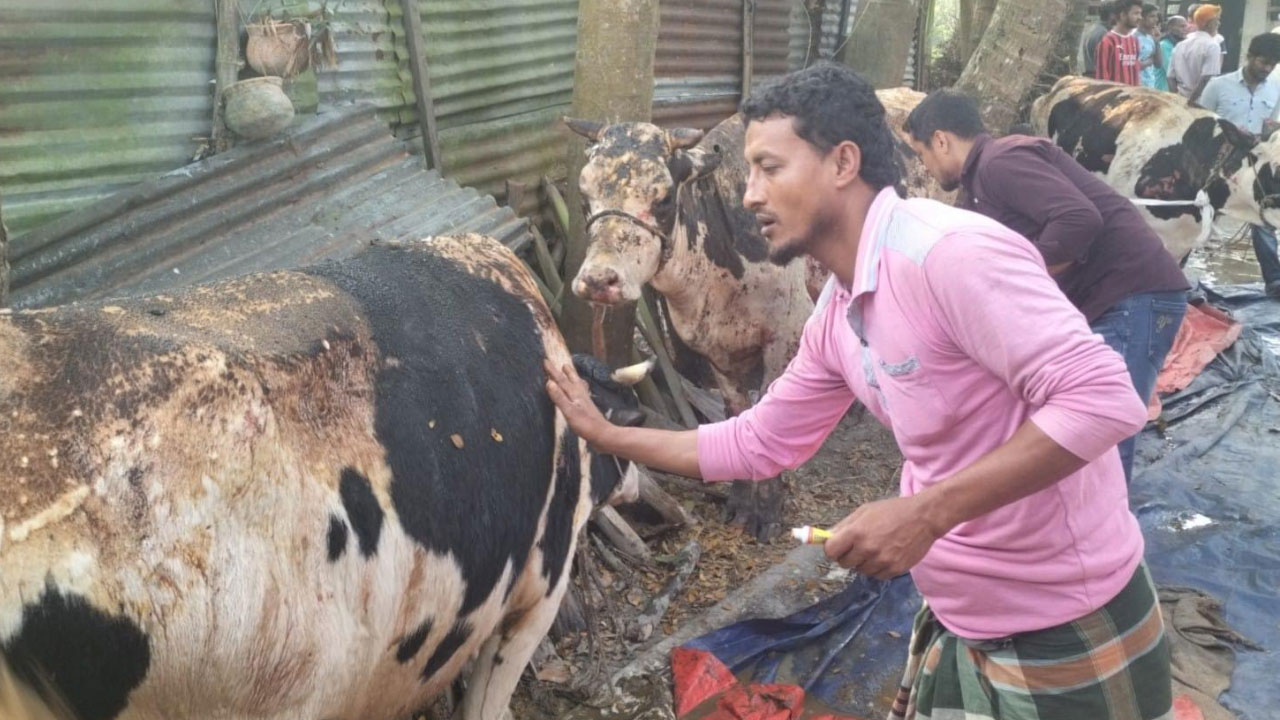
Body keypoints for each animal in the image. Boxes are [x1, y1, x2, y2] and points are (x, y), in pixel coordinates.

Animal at [564, 88, 946, 540]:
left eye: (663, 198)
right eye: (584, 197)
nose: (598, 280)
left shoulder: (784, 335)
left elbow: (767, 413)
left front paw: (767, 509)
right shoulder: (715, 350)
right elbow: (736, 413)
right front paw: (739, 500)